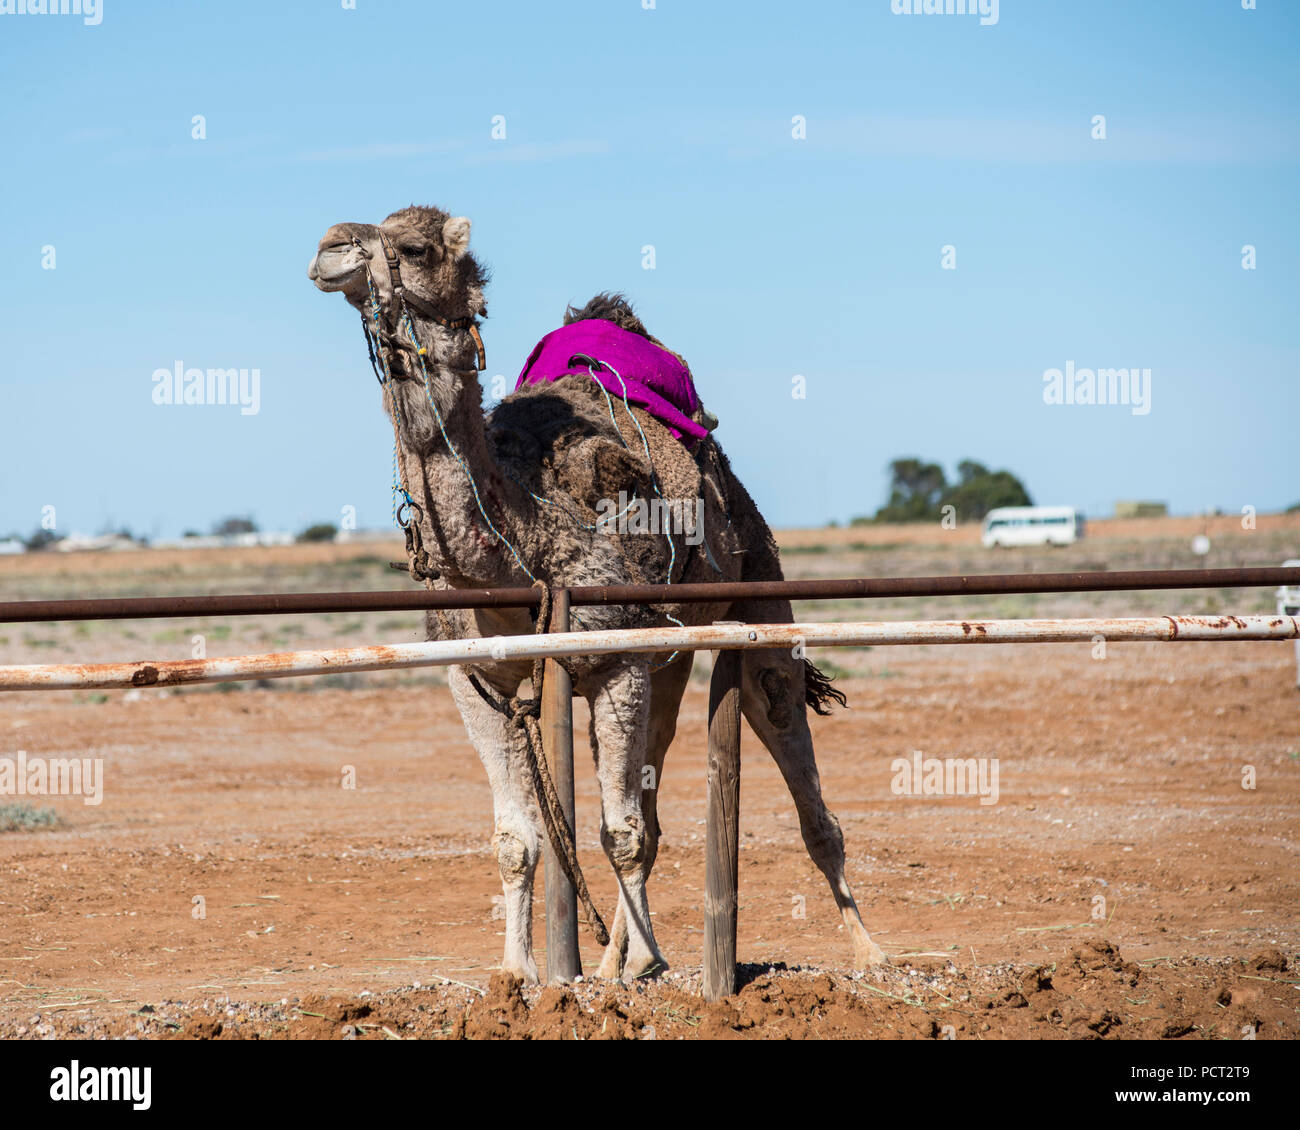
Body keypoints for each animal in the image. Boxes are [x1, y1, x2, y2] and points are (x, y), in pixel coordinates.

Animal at [309, 206, 889, 983]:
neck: (523, 546)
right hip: (668, 653)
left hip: (758, 594)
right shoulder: (476, 679)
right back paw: (634, 955)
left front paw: (602, 975)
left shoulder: (618, 663)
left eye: (415, 246)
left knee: (793, 763)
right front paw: (520, 973)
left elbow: (621, 835)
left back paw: (868, 950)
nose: (329, 248)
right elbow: (517, 838)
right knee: (659, 777)